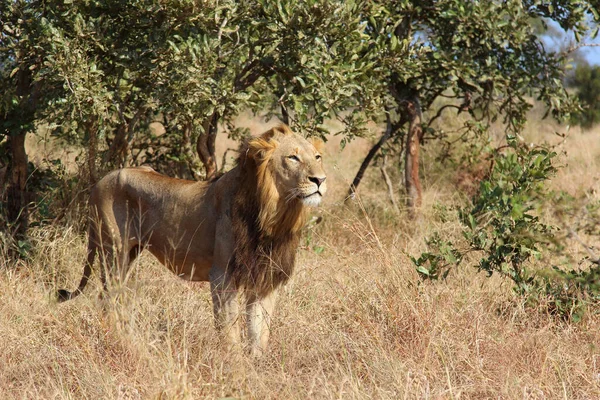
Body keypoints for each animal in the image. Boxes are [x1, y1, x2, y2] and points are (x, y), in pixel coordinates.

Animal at [58, 125, 326, 356]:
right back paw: (121, 342)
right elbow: (229, 329)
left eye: (317, 157)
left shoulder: (265, 277)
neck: (273, 215)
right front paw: (234, 366)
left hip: (129, 255)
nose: (320, 180)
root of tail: (99, 182)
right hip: (114, 251)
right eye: (293, 157)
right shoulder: (222, 275)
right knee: (107, 299)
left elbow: (259, 332)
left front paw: (256, 366)